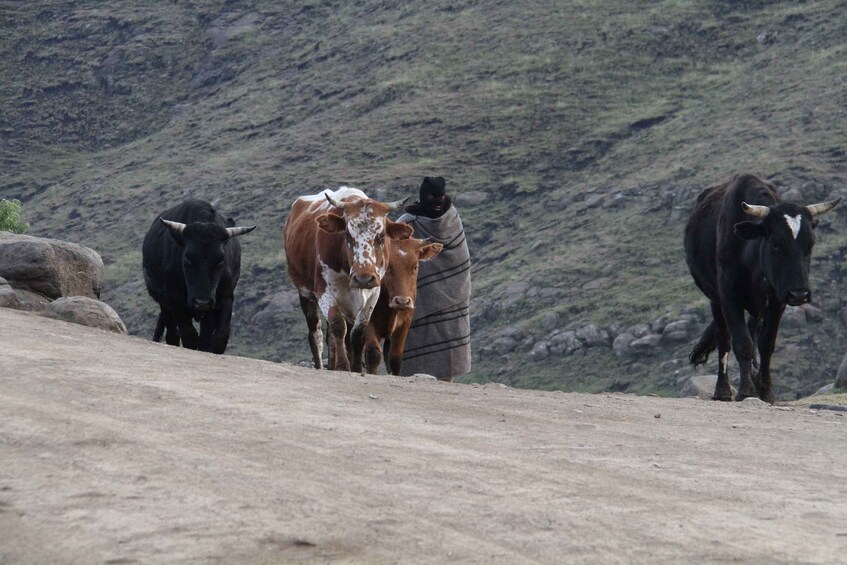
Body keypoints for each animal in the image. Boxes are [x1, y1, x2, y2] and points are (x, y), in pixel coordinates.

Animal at [142, 199, 255, 352]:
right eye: (188, 258)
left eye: (220, 260)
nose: (202, 302)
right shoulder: (174, 298)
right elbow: (188, 333)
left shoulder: (225, 297)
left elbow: (220, 336)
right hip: (164, 303)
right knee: (172, 333)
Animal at [284, 187, 414, 372]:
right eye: (347, 234)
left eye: (381, 236)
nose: (363, 278)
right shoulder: (323, 290)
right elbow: (338, 326)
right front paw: (343, 366)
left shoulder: (373, 294)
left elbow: (358, 333)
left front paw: (357, 368)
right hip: (305, 293)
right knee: (316, 333)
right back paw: (321, 365)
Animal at [362, 235, 444, 374]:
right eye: (388, 266)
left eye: (415, 266)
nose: (402, 301)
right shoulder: (368, 319)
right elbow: (373, 354)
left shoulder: (405, 322)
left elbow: (395, 358)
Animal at [684, 174, 840, 404]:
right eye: (775, 243)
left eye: (810, 244)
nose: (800, 294)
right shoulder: (729, 297)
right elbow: (741, 342)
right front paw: (746, 390)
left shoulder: (777, 299)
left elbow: (766, 343)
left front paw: (765, 391)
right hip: (715, 299)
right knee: (724, 339)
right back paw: (723, 390)